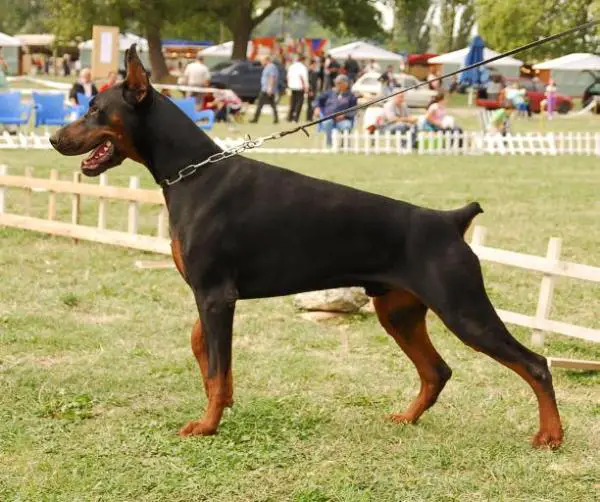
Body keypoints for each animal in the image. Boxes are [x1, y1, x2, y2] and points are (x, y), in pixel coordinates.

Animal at [49, 46, 564, 448]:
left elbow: (216, 365)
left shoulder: (216, 294)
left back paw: (551, 436)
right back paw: (406, 418)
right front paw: (222, 405)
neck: (192, 173)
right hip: (398, 311)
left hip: (463, 309)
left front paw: (207, 425)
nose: (54, 137)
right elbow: (206, 353)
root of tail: (450, 220)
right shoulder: (209, 294)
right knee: (437, 370)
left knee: (535, 364)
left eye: (95, 109)